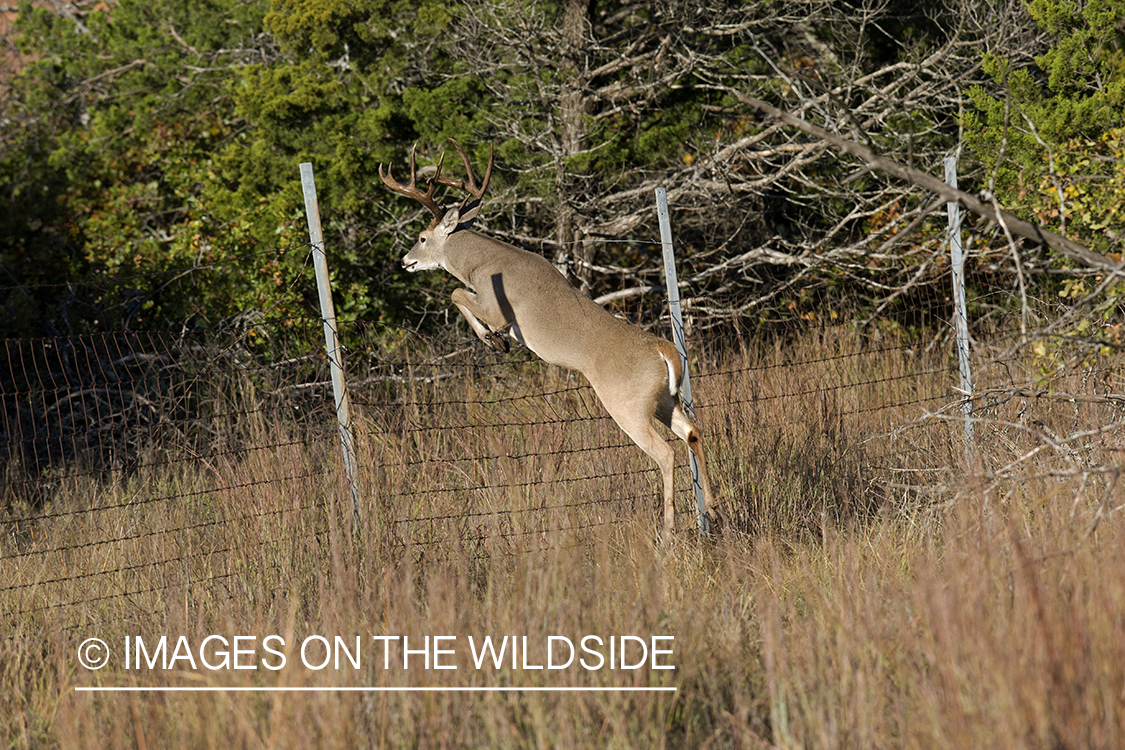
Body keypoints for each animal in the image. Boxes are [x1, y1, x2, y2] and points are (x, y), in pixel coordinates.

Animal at [378, 139, 711, 539]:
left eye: (422, 238)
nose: (405, 261)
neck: (480, 263)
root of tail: (663, 350)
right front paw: (496, 342)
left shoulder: (497, 307)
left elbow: (457, 293)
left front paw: (494, 341)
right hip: (663, 398)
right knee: (692, 432)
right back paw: (713, 509)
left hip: (627, 403)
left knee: (665, 452)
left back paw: (668, 531)